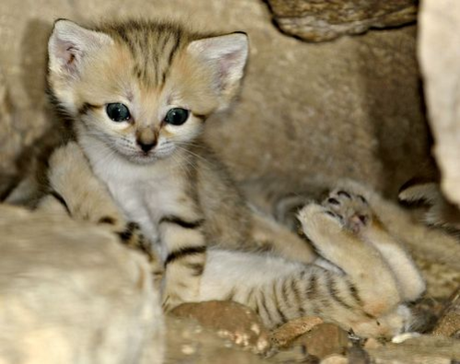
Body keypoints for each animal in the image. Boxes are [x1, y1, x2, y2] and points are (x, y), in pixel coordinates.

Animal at [39, 143, 424, 338]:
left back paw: (353, 211)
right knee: (385, 285)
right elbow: (99, 211)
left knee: (407, 280)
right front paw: (67, 157)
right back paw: (318, 220)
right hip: (312, 291)